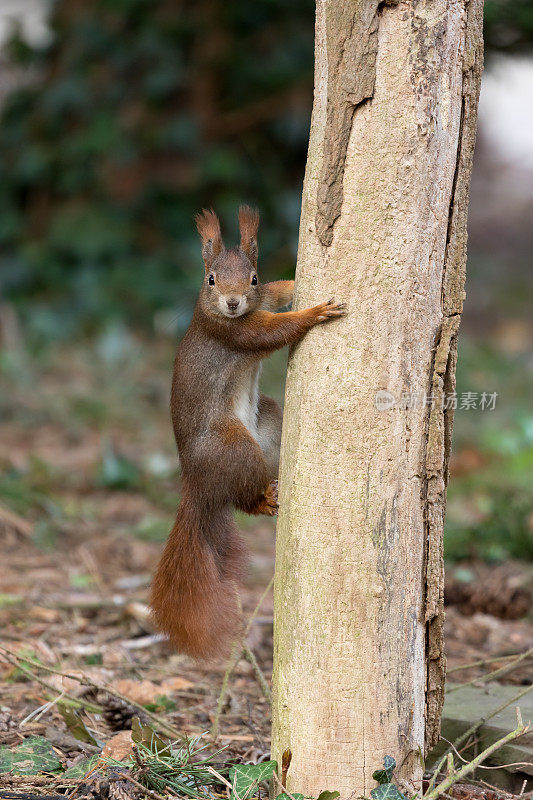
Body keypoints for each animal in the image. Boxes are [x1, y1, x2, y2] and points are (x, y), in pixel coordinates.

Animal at [149, 205, 344, 656]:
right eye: (211, 279)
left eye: (252, 277)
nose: (234, 301)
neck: (223, 312)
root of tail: (196, 485)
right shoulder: (234, 331)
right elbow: (271, 330)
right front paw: (312, 314)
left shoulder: (262, 301)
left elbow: (278, 292)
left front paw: (295, 284)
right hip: (235, 447)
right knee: (243, 499)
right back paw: (264, 500)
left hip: (267, 425)